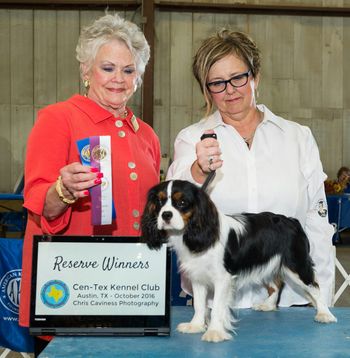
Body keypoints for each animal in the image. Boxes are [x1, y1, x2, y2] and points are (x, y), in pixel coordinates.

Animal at [141, 180, 338, 342]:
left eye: (182, 203)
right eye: (159, 202)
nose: (166, 215)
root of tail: (292, 221)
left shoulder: (223, 279)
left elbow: (217, 307)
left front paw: (214, 332)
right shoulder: (198, 277)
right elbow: (198, 304)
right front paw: (196, 326)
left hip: (296, 265)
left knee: (315, 286)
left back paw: (324, 314)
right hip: (268, 264)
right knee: (276, 284)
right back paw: (268, 305)